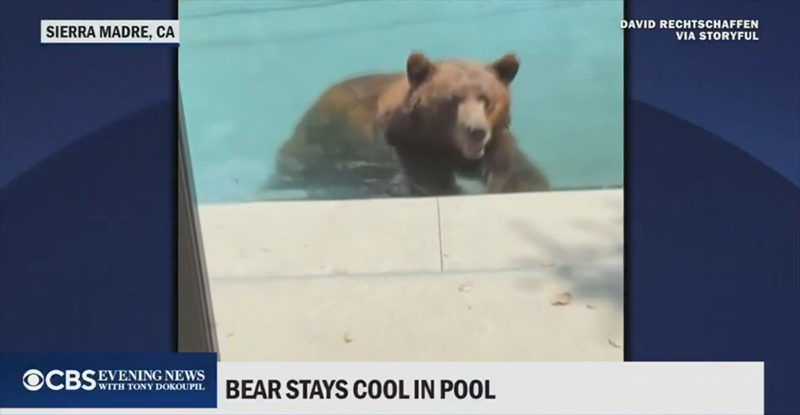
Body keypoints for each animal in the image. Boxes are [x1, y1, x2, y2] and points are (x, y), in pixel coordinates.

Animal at [266, 52, 550, 199]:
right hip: (316, 149)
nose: (476, 131)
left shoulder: (497, 148)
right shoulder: (406, 150)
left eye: (487, 100)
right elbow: (430, 182)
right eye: (453, 99)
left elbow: (519, 175)